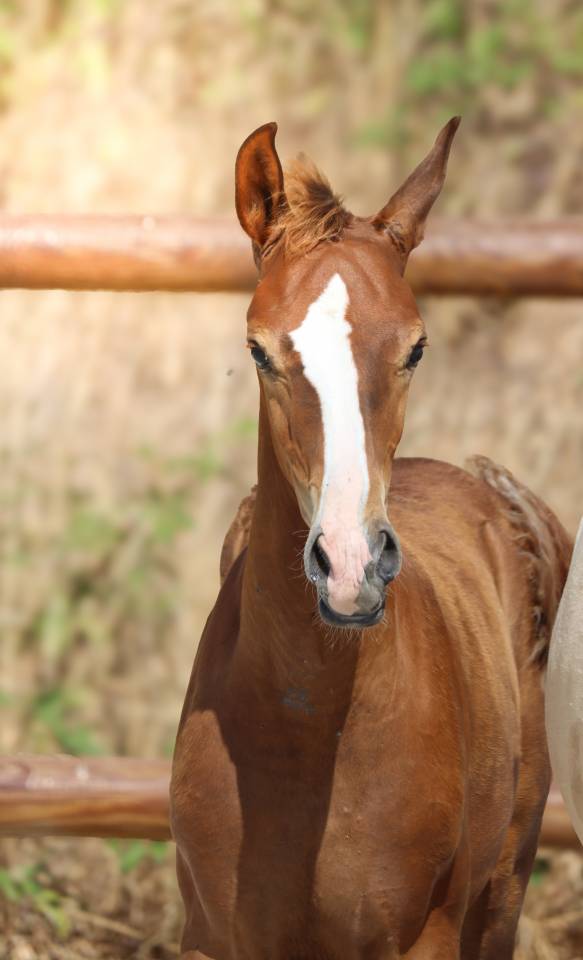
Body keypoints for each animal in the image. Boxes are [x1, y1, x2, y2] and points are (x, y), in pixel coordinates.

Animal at [170, 119, 572, 959]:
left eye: (415, 347)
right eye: (258, 349)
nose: (349, 567)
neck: (307, 731)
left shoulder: (422, 935)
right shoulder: (211, 934)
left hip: (501, 888)